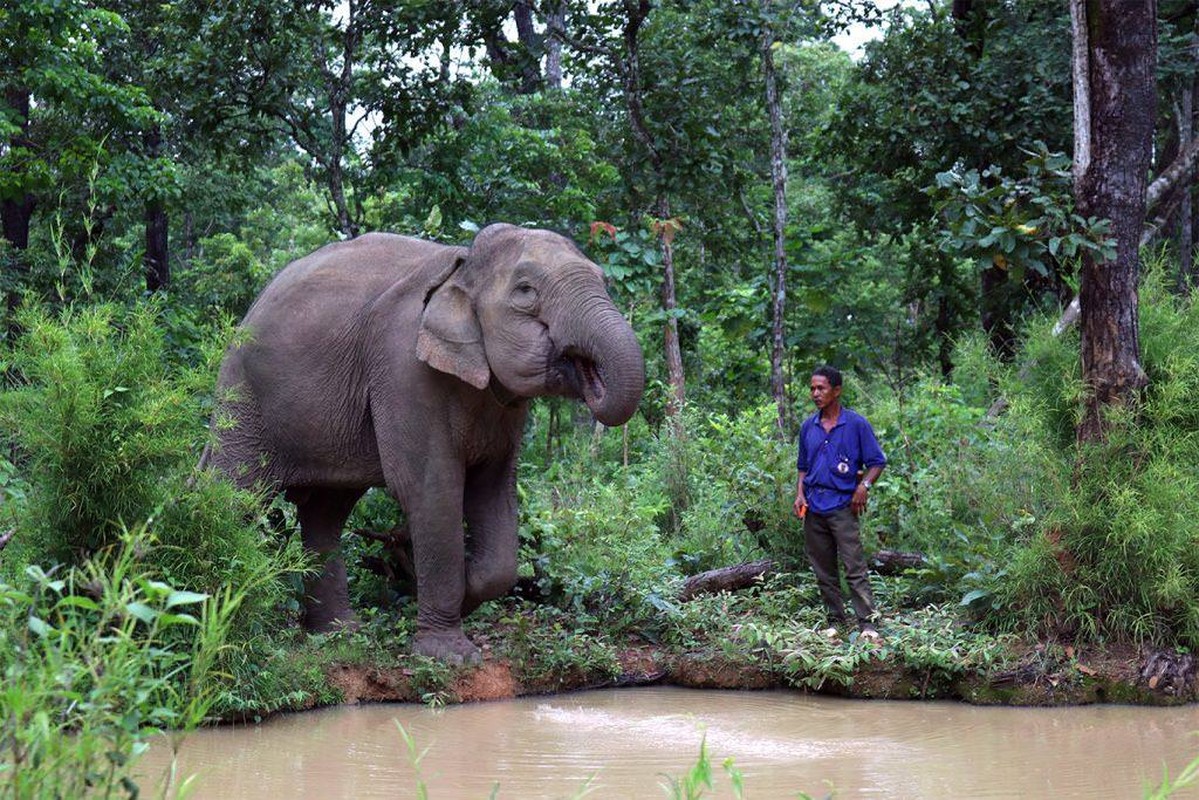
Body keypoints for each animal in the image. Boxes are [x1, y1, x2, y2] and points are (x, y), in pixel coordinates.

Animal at [203, 221, 647, 662]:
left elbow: (494, 494)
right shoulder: (404, 369)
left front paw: (462, 593)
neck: (463, 269)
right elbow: (430, 489)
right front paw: (450, 655)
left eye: (604, 280)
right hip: (243, 402)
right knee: (233, 495)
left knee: (326, 513)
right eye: (525, 291)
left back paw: (339, 633)